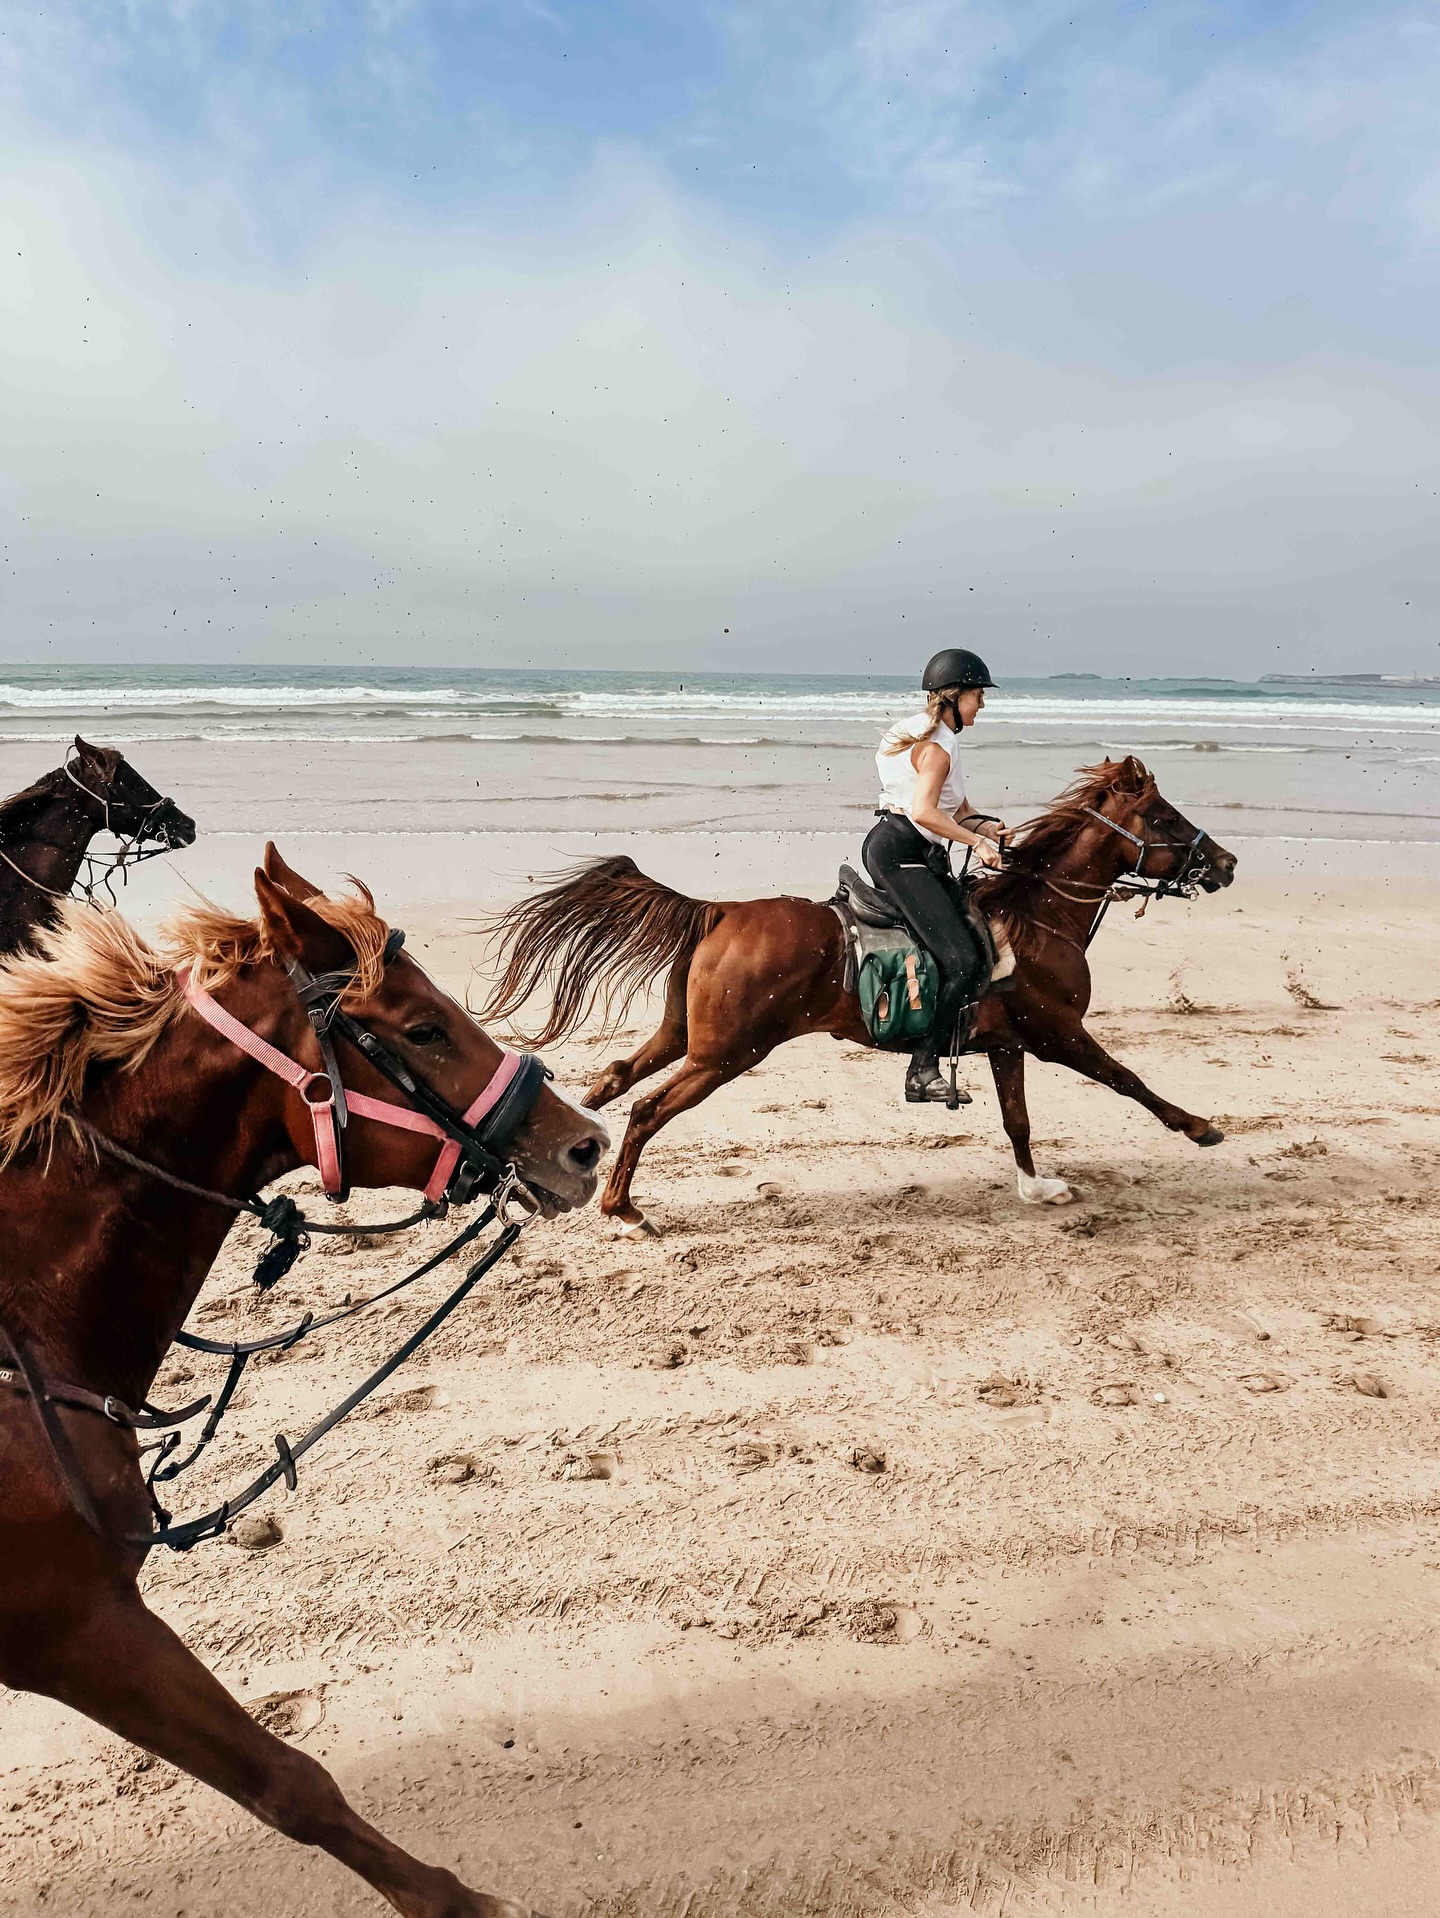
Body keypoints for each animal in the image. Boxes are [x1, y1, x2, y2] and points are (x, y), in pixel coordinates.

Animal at [478, 756, 1236, 1233]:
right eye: (1165, 819)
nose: (1226, 864)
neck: (1037, 915)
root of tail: (720, 911)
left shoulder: (1007, 1044)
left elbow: (1018, 1121)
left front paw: (1036, 1186)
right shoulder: (1058, 1034)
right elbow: (1127, 1079)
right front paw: (1199, 1127)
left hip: (685, 1037)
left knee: (612, 1080)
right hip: (725, 1055)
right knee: (644, 1109)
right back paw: (625, 1212)